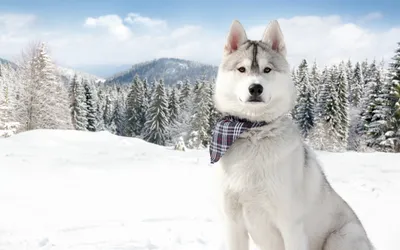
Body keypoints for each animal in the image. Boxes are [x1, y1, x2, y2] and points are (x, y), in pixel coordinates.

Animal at [214, 19, 374, 250]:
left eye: (267, 69)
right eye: (241, 69)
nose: (255, 88)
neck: (254, 131)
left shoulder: (291, 225)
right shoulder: (233, 223)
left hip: (343, 235)